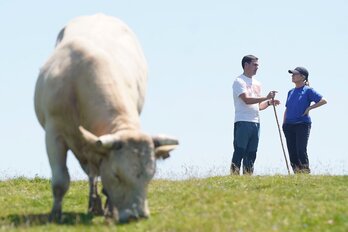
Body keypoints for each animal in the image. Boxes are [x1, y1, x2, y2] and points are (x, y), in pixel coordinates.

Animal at [34, 14, 178, 223]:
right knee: (90, 174)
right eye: (117, 175)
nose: (137, 216)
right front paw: (55, 215)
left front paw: (111, 209)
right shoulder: (54, 134)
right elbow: (61, 180)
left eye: (151, 174)